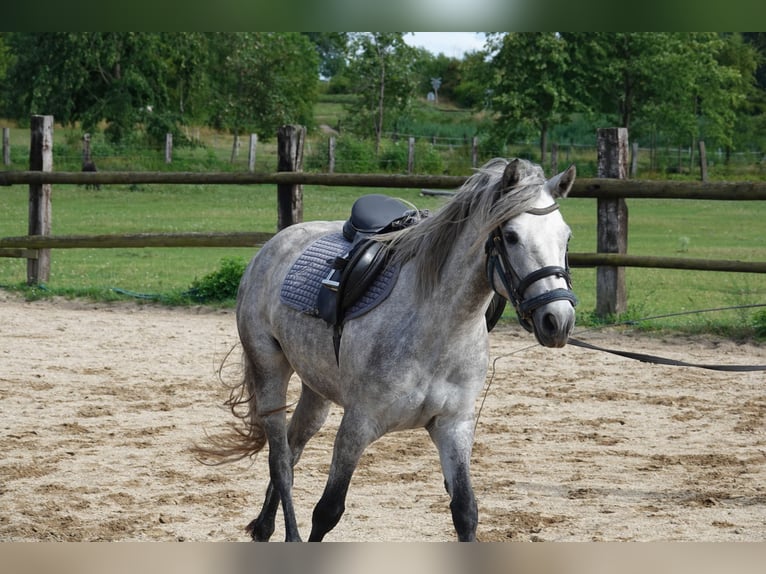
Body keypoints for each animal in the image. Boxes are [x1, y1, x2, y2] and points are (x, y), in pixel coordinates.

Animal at [198, 157, 577, 542]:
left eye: (566, 236)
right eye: (511, 236)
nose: (557, 320)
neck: (437, 331)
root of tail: (275, 243)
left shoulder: (453, 427)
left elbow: (465, 512)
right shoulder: (358, 425)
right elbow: (327, 511)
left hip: (316, 389)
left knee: (292, 449)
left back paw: (264, 527)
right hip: (269, 371)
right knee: (280, 462)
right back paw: (286, 534)